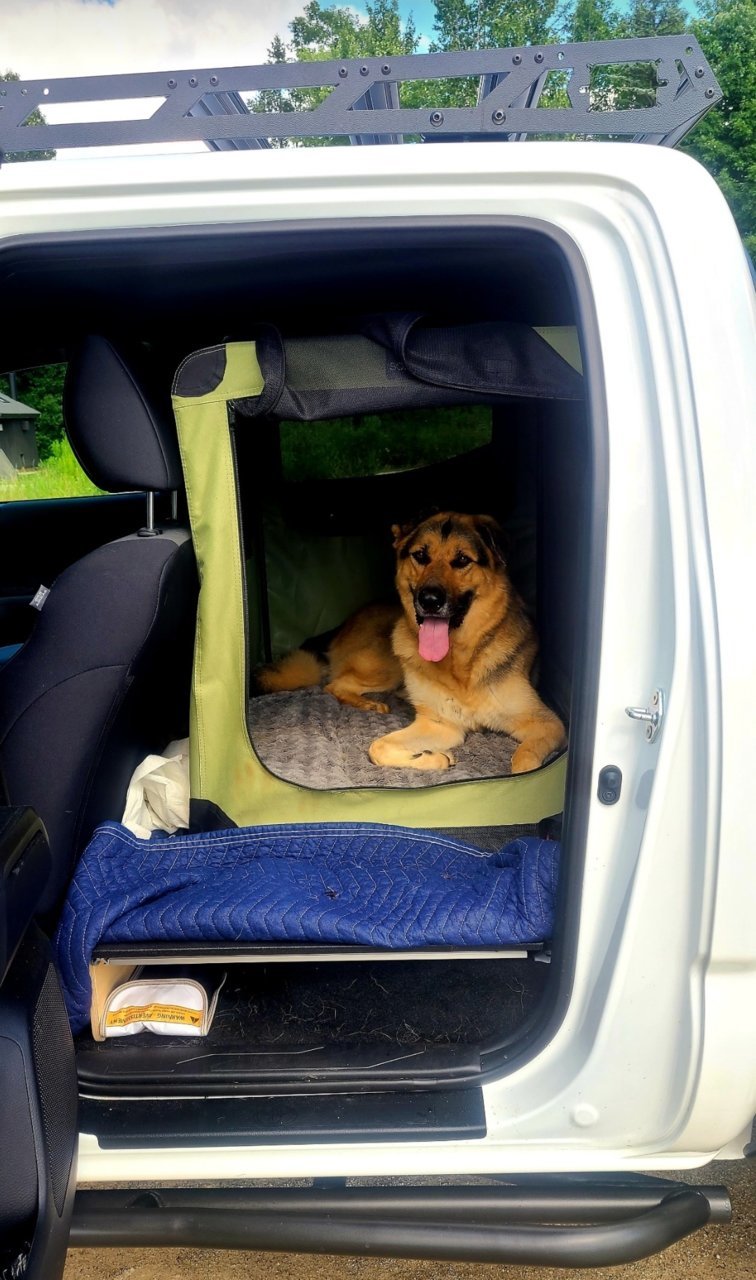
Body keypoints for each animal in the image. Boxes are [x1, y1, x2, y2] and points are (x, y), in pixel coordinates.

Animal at [257, 512, 565, 773]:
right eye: (420, 556)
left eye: (462, 560)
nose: (429, 600)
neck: (460, 662)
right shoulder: (440, 725)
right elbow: (377, 747)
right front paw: (435, 758)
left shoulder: (547, 724)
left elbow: (525, 759)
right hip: (388, 666)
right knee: (334, 684)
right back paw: (369, 704)